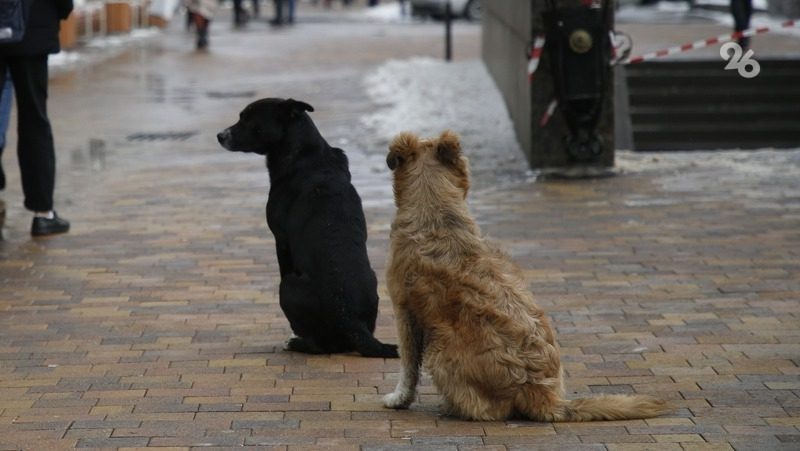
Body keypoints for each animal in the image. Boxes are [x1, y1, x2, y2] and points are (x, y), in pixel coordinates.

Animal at [217, 97, 398, 358]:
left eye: (248, 119)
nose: (220, 136)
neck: (306, 155)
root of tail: (350, 321)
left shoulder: (281, 240)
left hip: (287, 286)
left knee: (319, 346)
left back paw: (296, 342)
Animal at [382, 132, 668, 424]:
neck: (434, 211)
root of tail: (541, 393)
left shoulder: (403, 310)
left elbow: (408, 367)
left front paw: (399, 399)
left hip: (439, 348)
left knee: (487, 410)